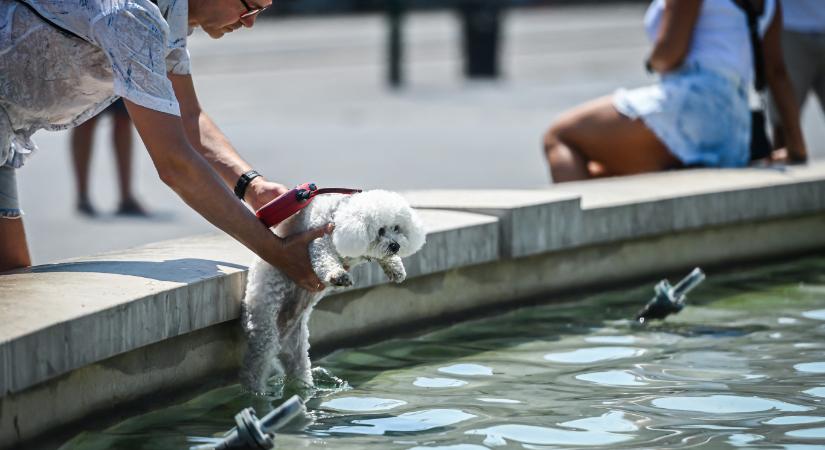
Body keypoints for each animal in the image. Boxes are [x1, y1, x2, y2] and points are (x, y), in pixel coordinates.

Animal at [238, 190, 424, 394]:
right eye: (381, 230)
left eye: (397, 228)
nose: (395, 246)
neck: (339, 215)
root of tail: (283, 334)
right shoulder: (319, 239)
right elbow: (324, 258)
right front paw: (338, 275)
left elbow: (381, 257)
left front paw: (396, 268)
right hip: (264, 325)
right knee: (254, 366)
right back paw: (256, 393)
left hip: (297, 348)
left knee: (297, 369)